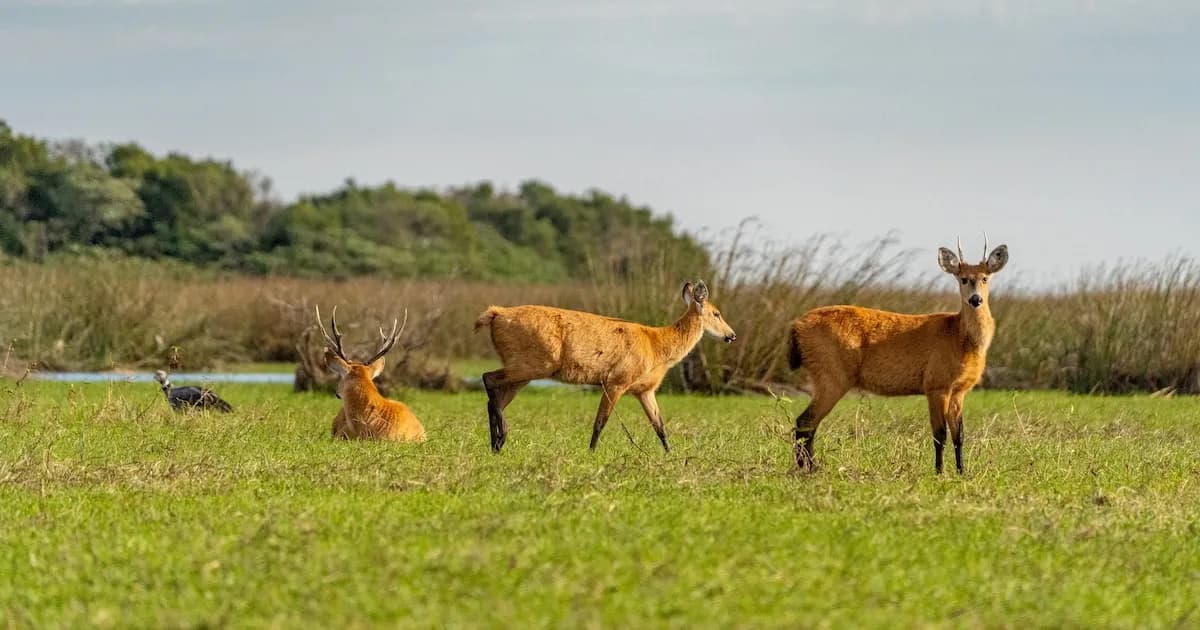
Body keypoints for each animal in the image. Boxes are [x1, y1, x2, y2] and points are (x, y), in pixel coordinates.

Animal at [474, 281, 736, 453]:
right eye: (717, 313)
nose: (732, 335)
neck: (657, 346)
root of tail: (496, 314)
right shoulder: (616, 380)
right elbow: (600, 422)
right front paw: (591, 453)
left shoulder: (645, 390)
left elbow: (660, 425)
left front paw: (671, 454)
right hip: (534, 363)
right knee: (488, 378)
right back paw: (502, 437)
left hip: (526, 369)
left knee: (495, 396)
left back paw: (496, 445)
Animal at [787, 238, 1009, 474]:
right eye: (963, 278)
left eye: (985, 278)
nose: (975, 299)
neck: (960, 338)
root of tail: (796, 326)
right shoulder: (935, 384)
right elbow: (940, 434)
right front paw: (939, 472)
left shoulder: (959, 390)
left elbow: (960, 435)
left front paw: (961, 472)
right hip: (832, 375)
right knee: (805, 422)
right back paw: (809, 468)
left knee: (807, 424)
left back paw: (809, 467)